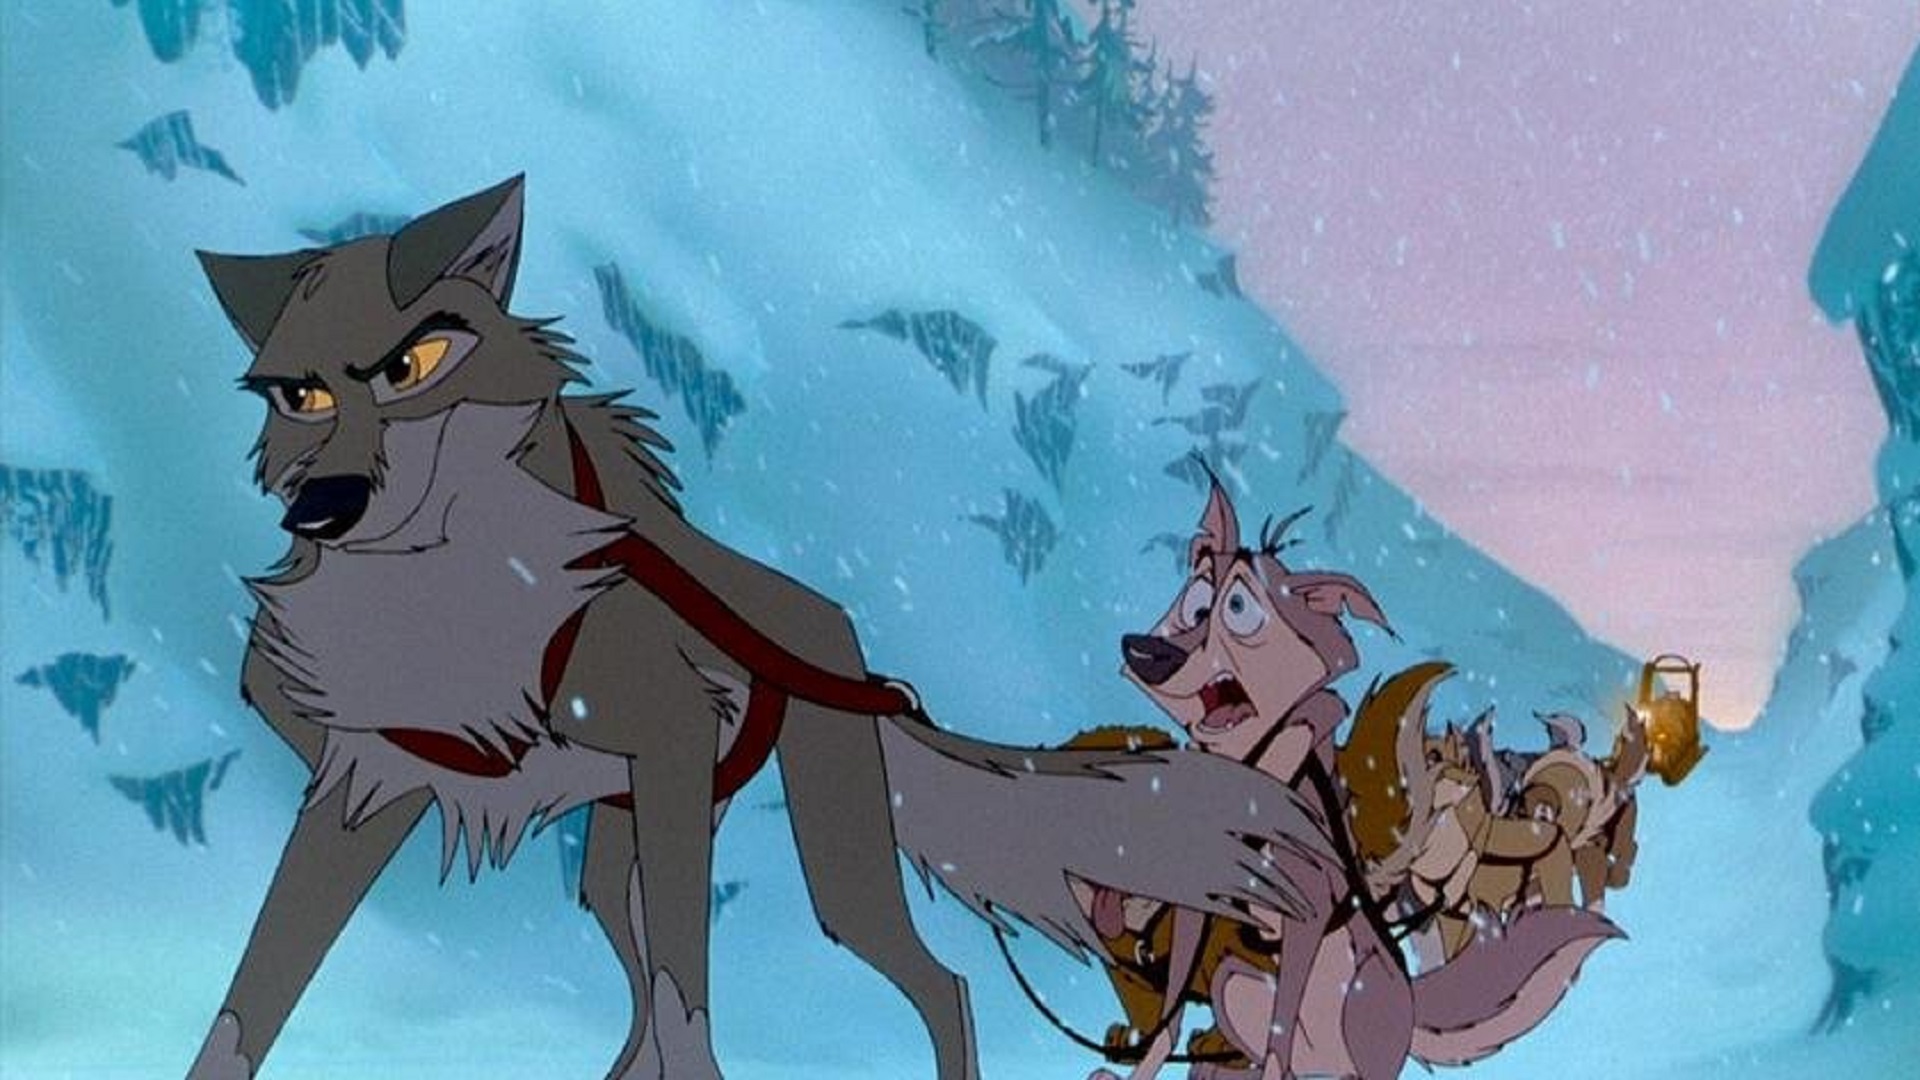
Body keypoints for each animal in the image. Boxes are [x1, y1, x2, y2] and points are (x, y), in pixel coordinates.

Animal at [180, 177, 1342, 1080]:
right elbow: (247, 1003)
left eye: (411, 367)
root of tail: (840, 629)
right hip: (628, 857)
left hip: (818, 867)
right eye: (297, 396)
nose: (320, 509)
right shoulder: (360, 787)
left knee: (934, 982)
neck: (452, 595)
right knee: (642, 1003)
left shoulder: (666, 743)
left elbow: (689, 1005)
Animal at [1109, 481, 1621, 1080]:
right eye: (1193, 603)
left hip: (1359, 1015)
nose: (1143, 651)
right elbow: (1170, 1013)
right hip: (1234, 984)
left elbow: (1278, 1030)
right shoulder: (1199, 906)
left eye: (1238, 608)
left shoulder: (1307, 911)